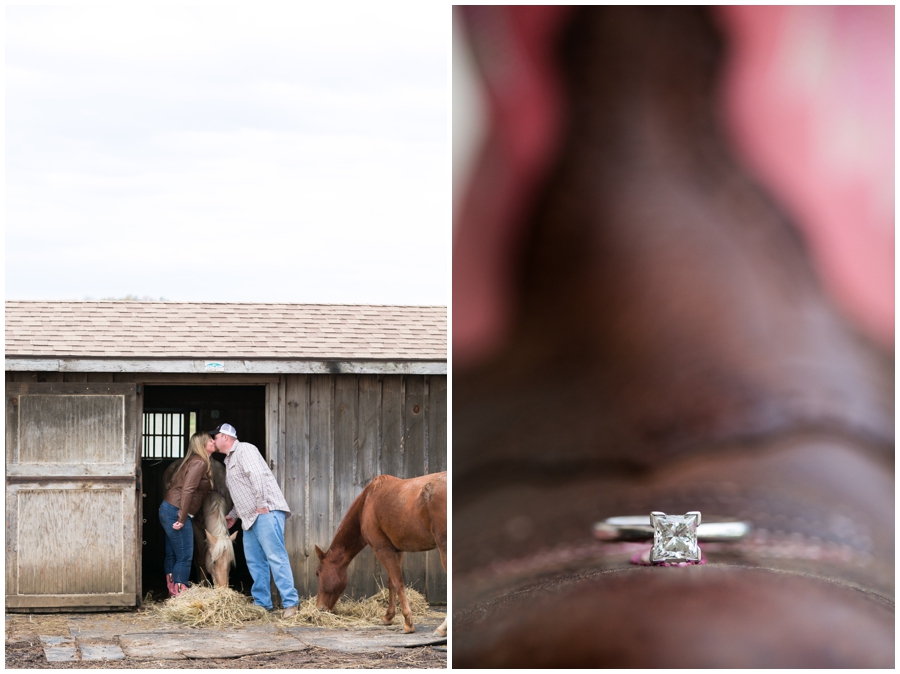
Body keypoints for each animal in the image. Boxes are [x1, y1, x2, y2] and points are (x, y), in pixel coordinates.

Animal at [314, 470, 448, 632]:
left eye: (317, 573)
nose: (319, 608)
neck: (367, 501)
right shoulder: (397, 550)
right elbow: (391, 582)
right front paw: (388, 616)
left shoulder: (381, 549)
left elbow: (397, 582)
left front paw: (408, 622)